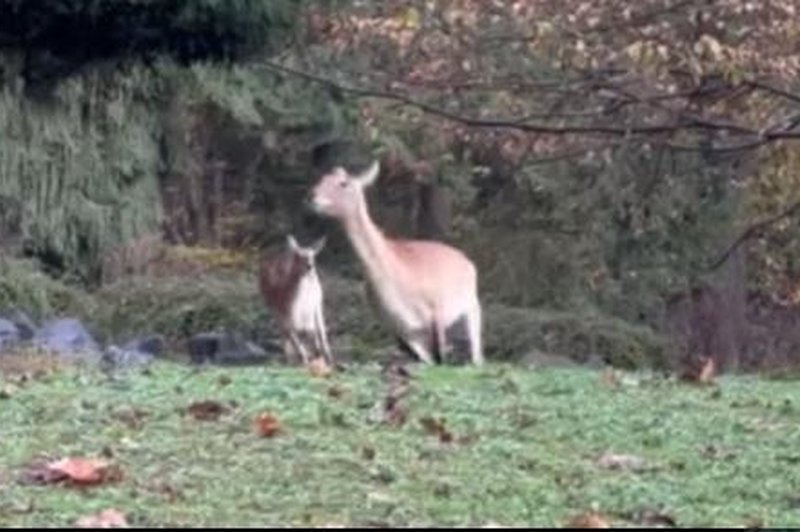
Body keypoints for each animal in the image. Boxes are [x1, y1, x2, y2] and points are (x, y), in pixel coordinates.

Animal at [256, 236, 332, 366]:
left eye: (313, 256)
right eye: (298, 256)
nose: (309, 266)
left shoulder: (315, 306)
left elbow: (317, 331)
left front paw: (324, 356)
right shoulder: (284, 310)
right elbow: (293, 332)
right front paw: (305, 359)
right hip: (272, 305)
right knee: (285, 331)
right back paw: (290, 357)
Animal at [308, 159, 482, 366]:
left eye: (343, 183)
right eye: (322, 179)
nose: (313, 198)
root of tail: (466, 261)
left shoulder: (436, 317)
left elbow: (441, 359)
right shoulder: (405, 332)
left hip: (472, 312)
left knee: (477, 356)